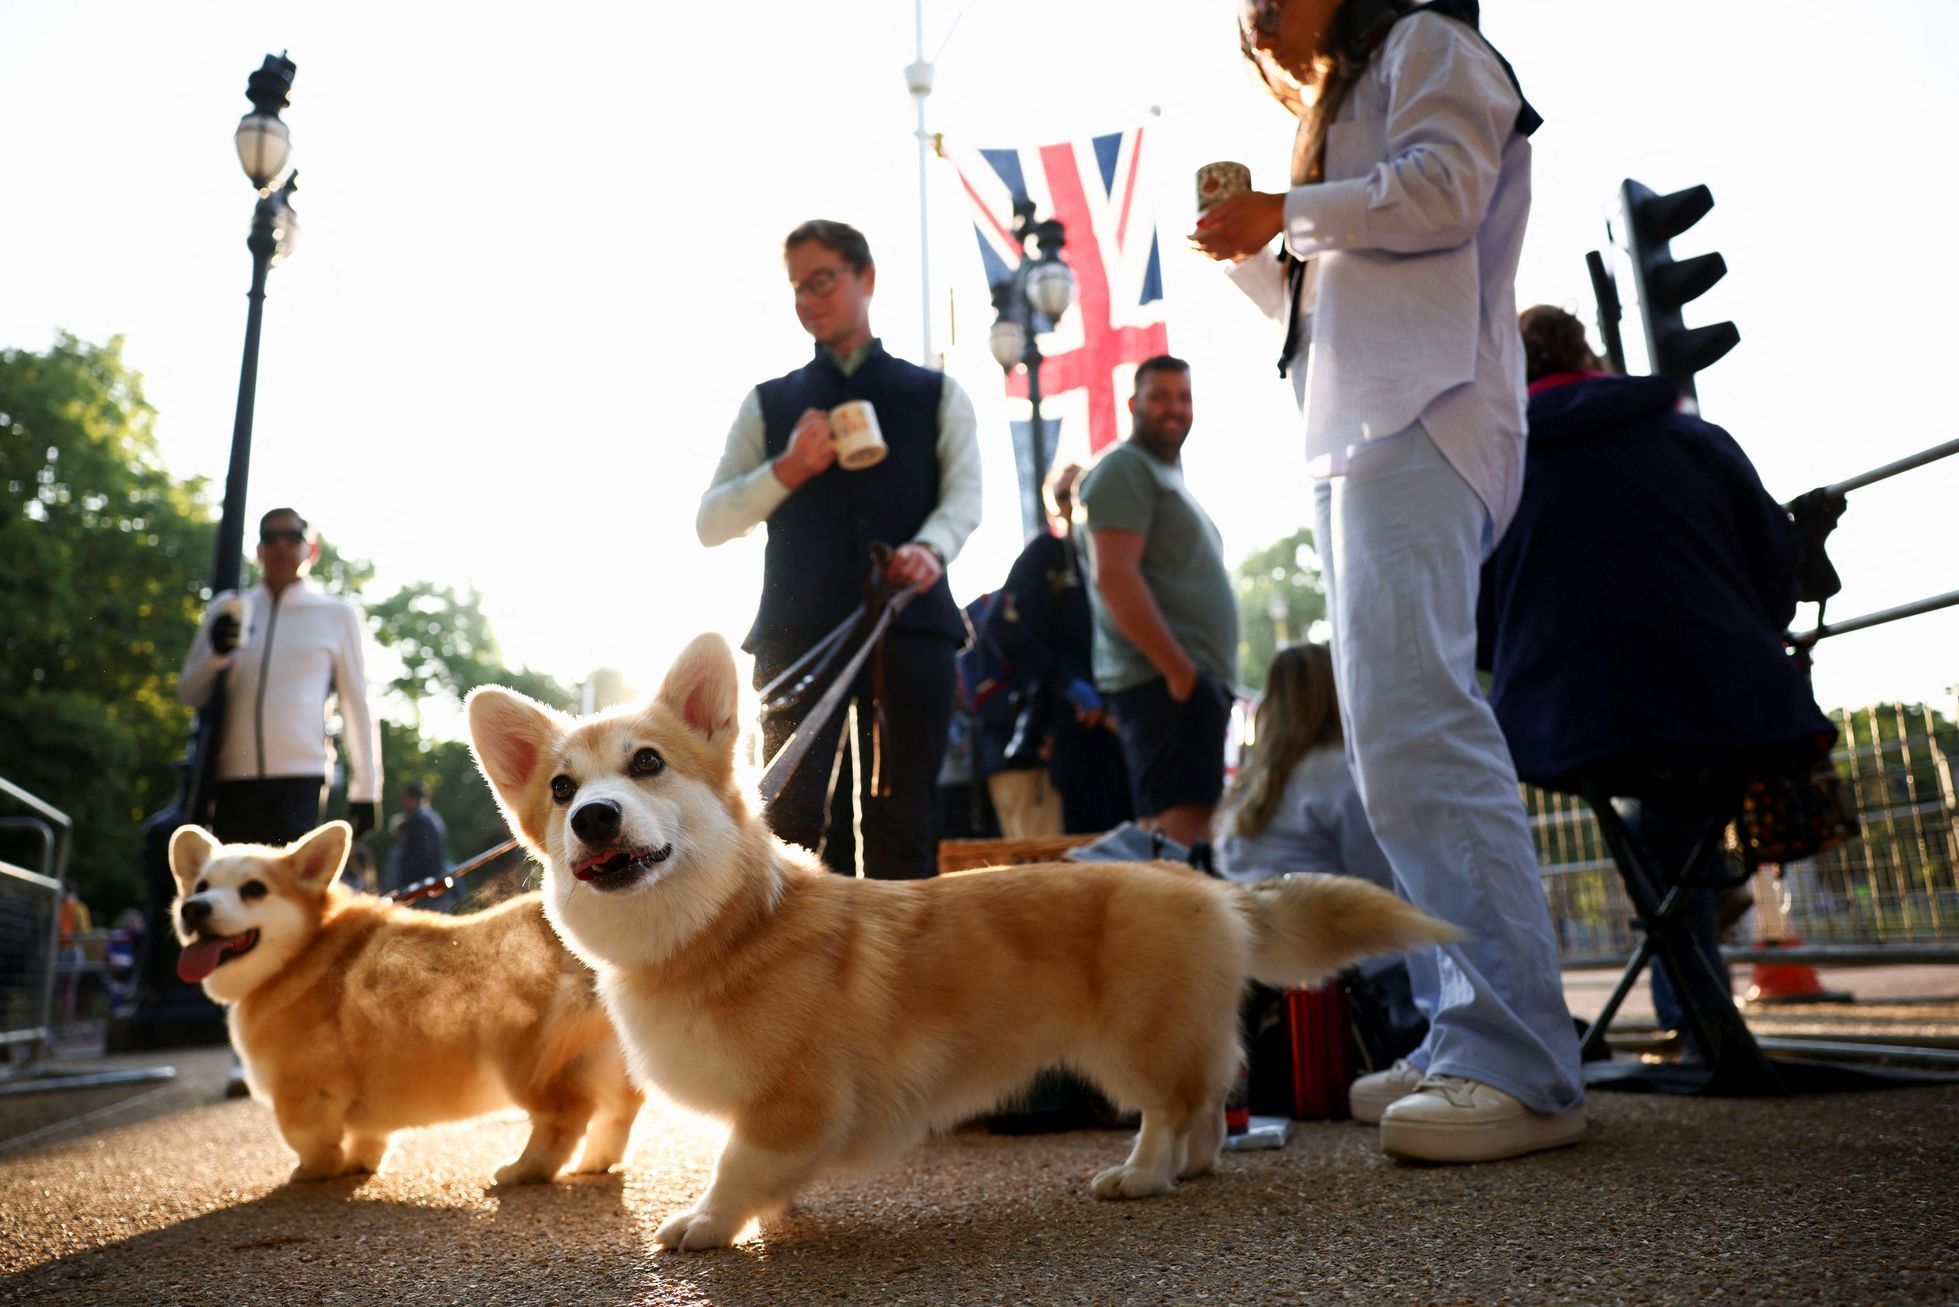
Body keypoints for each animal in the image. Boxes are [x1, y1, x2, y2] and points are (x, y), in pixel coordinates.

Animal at [169, 826, 642, 1183]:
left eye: (254, 889)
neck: (300, 951)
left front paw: (314, 1172)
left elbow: (309, 1141)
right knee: (620, 1110)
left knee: (566, 1114)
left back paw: (522, 1171)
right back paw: (594, 1163)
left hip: (525, 1057)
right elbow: (370, 1137)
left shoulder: (306, 1091)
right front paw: (359, 1164)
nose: (194, 909)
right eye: (201, 886)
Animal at [470, 638, 1457, 1254]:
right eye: (560, 789)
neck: (719, 929)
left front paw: (707, 1224)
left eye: (646, 764)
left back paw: (1140, 1176)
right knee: (1208, 1104)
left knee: (1172, 1107)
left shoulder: (793, 1103)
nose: (594, 819)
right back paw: (1192, 1169)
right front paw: (770, 1214)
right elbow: (765, 1172)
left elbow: (735, 1163)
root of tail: (1208, 885)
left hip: (1129, 1044)